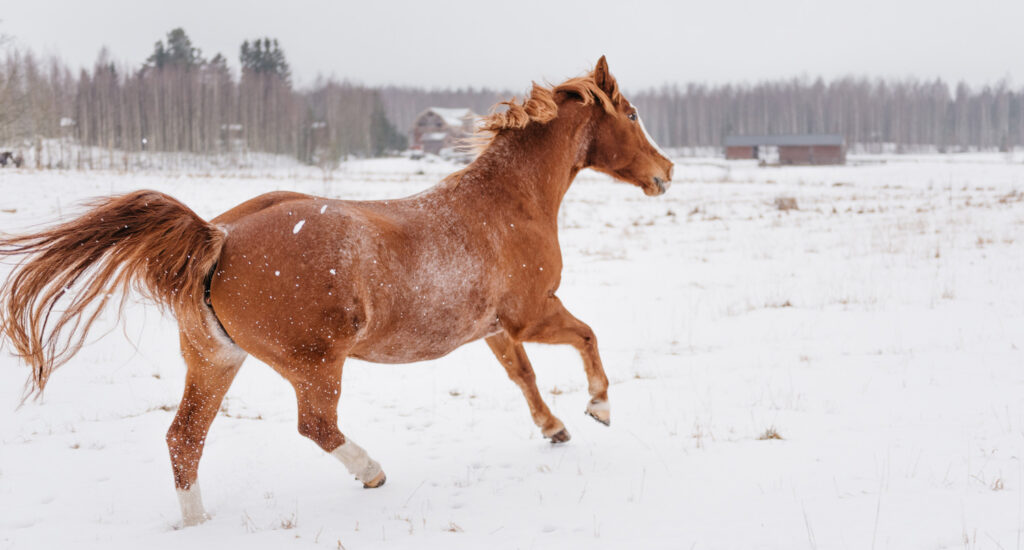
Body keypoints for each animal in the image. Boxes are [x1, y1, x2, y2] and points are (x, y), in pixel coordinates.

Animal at [0, 56, 675, 528]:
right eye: (633, 115)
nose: (666, 173)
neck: (510, 204)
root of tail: (217, 237)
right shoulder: (533, 314)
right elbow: (586, 337)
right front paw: (598, 407)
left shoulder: (493, 329)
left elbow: (524, 377)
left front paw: (554, 428)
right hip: (314, 363)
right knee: (314, 425)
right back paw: (372, 472)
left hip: (214, 360)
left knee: (184, 439)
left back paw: (196, 523)